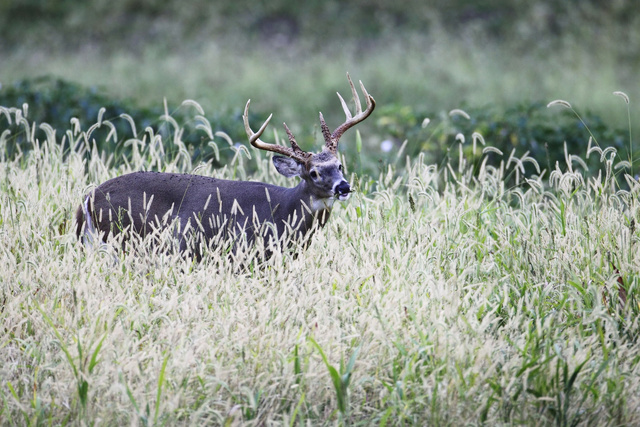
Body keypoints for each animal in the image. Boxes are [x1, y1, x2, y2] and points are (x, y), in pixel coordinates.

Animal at [75, 74, 375, 259]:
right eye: (313, 173)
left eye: (339, 165)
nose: (344, 187)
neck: (284, 211)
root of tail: (87, 200)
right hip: (125, 239)